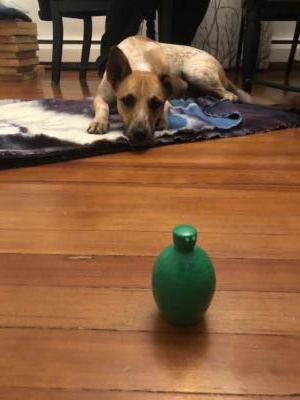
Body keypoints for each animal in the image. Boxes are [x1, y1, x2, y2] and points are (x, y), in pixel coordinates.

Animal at [87, 36, 251, 147]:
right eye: (127, 100)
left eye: (156, 103)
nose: (140, 134)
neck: (138, 64)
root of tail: (220, 65)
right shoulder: (100, 96)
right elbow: (103, 106)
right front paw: (99, 122)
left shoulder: (166, 100)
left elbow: (166, 108)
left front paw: (162, 121)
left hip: (195, 73)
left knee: (230, 94)